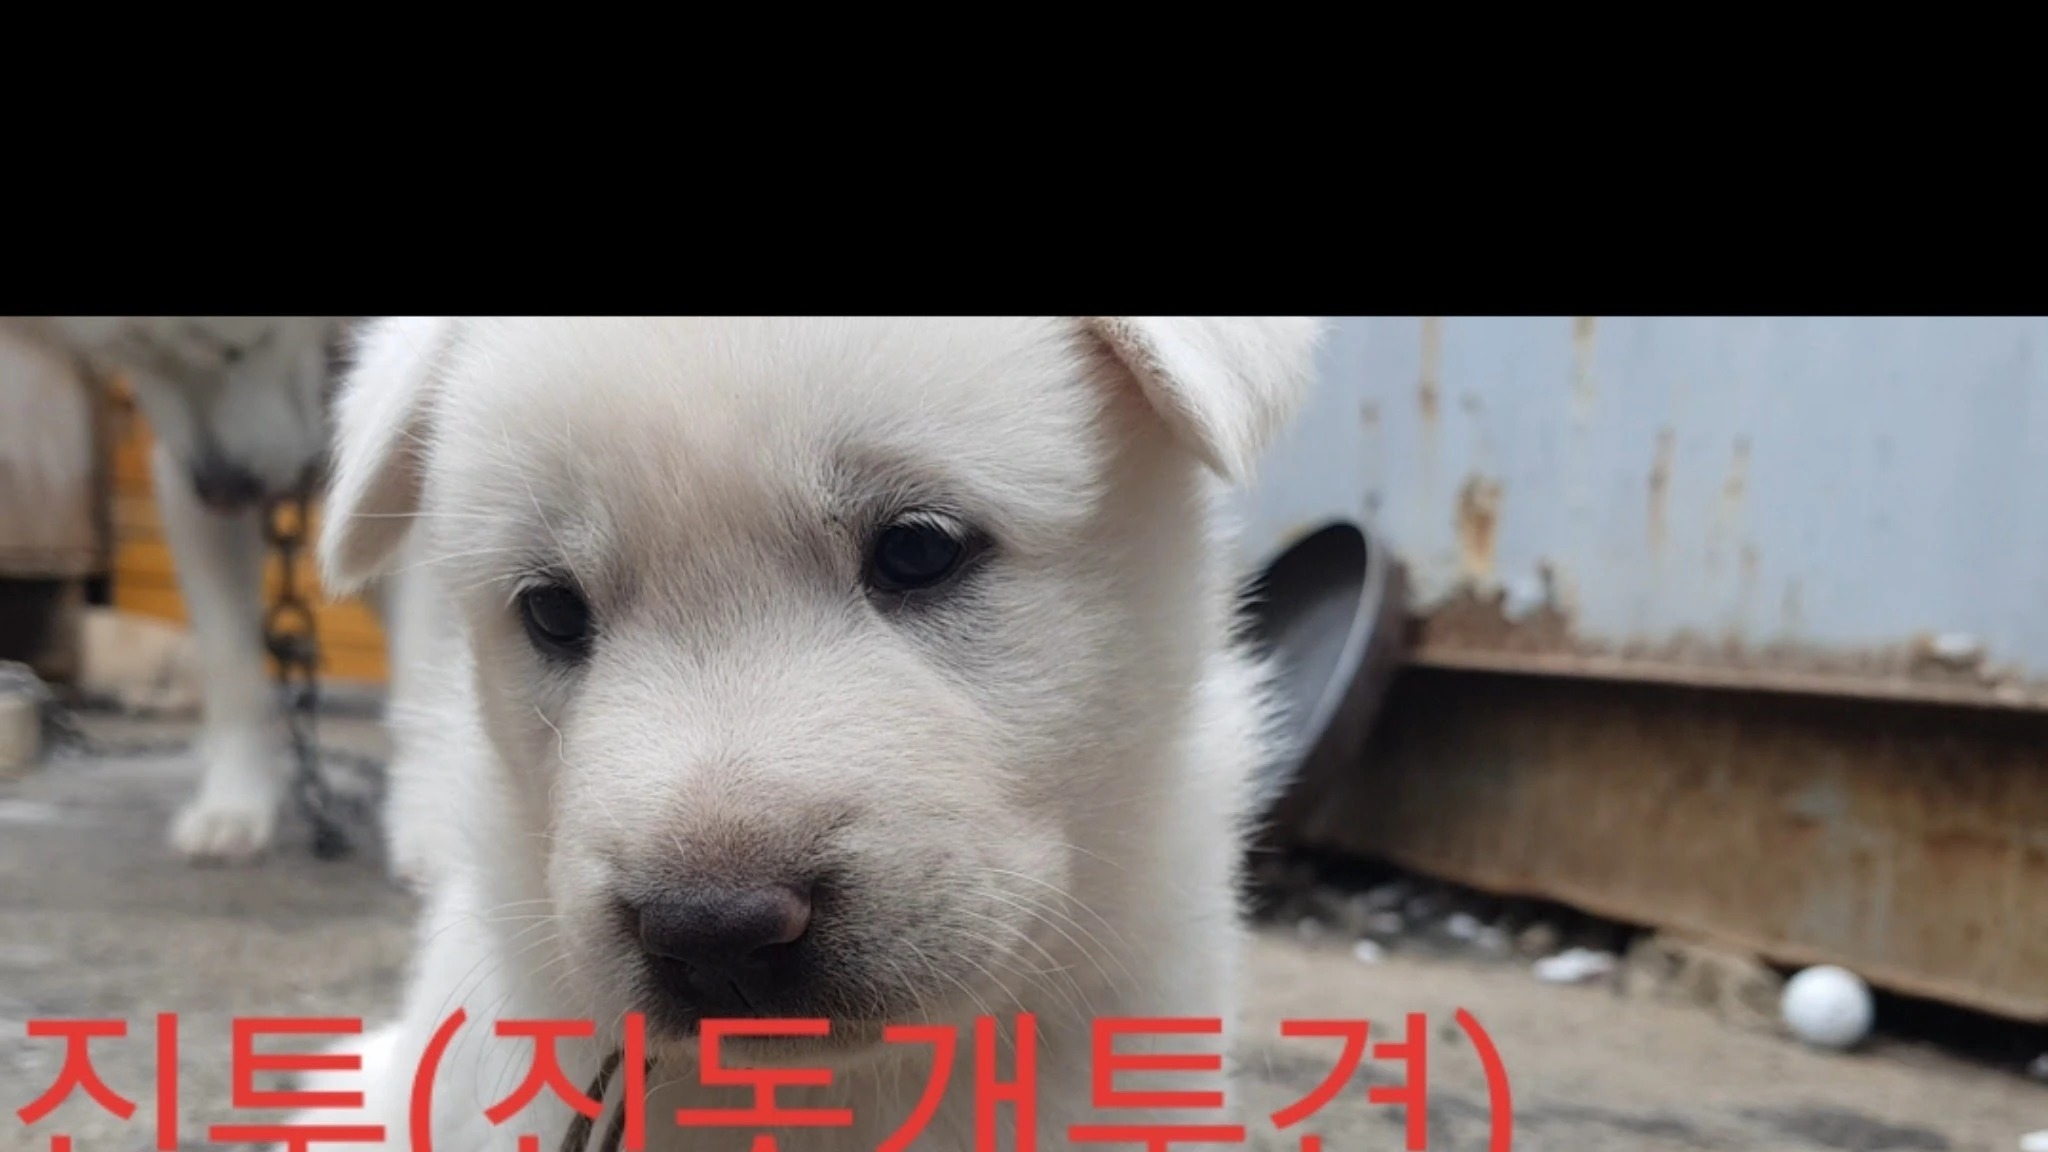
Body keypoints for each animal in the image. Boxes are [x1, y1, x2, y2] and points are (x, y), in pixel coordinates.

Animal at [0, 316, 445, 882]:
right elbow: (233, 673)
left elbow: (419, 676)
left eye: (239, 349)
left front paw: (431, 823)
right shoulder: (181, 483)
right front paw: (233, 805)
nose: (223, 489)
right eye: (130, 359)